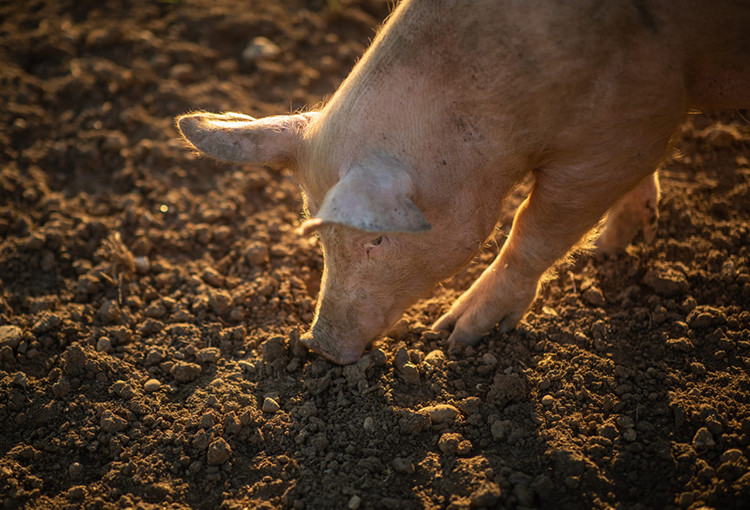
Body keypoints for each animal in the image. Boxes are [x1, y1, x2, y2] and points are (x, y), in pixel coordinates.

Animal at [178, 0, 750, 366]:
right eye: (321, 240)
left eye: (377, 239)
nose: (318, 346)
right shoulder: (645, 126)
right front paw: (613, 247)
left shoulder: (622, 130)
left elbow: (533, 228)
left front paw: (453, 336)